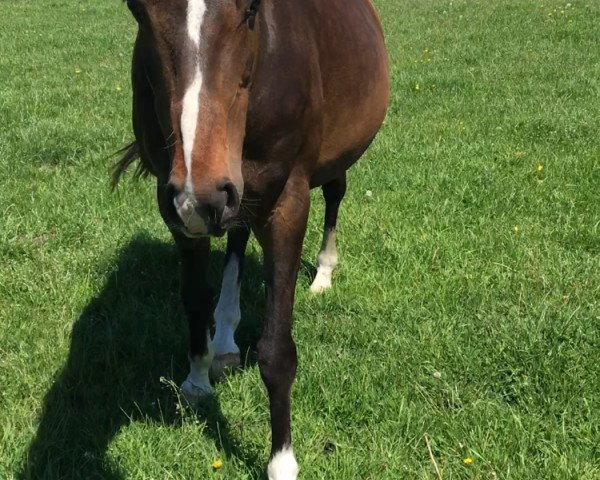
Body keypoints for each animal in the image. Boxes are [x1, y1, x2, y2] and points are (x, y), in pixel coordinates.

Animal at [113, 0, 390, 476]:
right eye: (138, 12)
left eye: (251, 11)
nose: (201, 192)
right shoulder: (178, 209)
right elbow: (194, 300)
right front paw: (198, 377)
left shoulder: (287, 206)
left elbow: (276, 351)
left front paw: (281, 462)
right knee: (237, 236)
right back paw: (225, 338)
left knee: (335, 194)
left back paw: (323, 273)